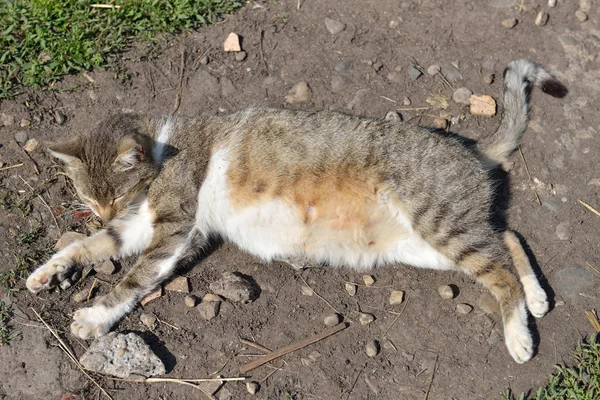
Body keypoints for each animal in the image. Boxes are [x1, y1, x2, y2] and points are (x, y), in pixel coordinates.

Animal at [27, 59, 568, 362]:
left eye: (114, 197)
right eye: (89, 200)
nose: (102, 212)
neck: (163, 152)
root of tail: (469, 149)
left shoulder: (175, 230)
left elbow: (133, 278)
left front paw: (94, 315)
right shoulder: (142, 229)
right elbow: (91, 246)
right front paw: (48, 271)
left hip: (439, 224)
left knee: (500, 268)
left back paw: (520, 334)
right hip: (424, 245)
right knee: (508, 238)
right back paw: (538, 297)